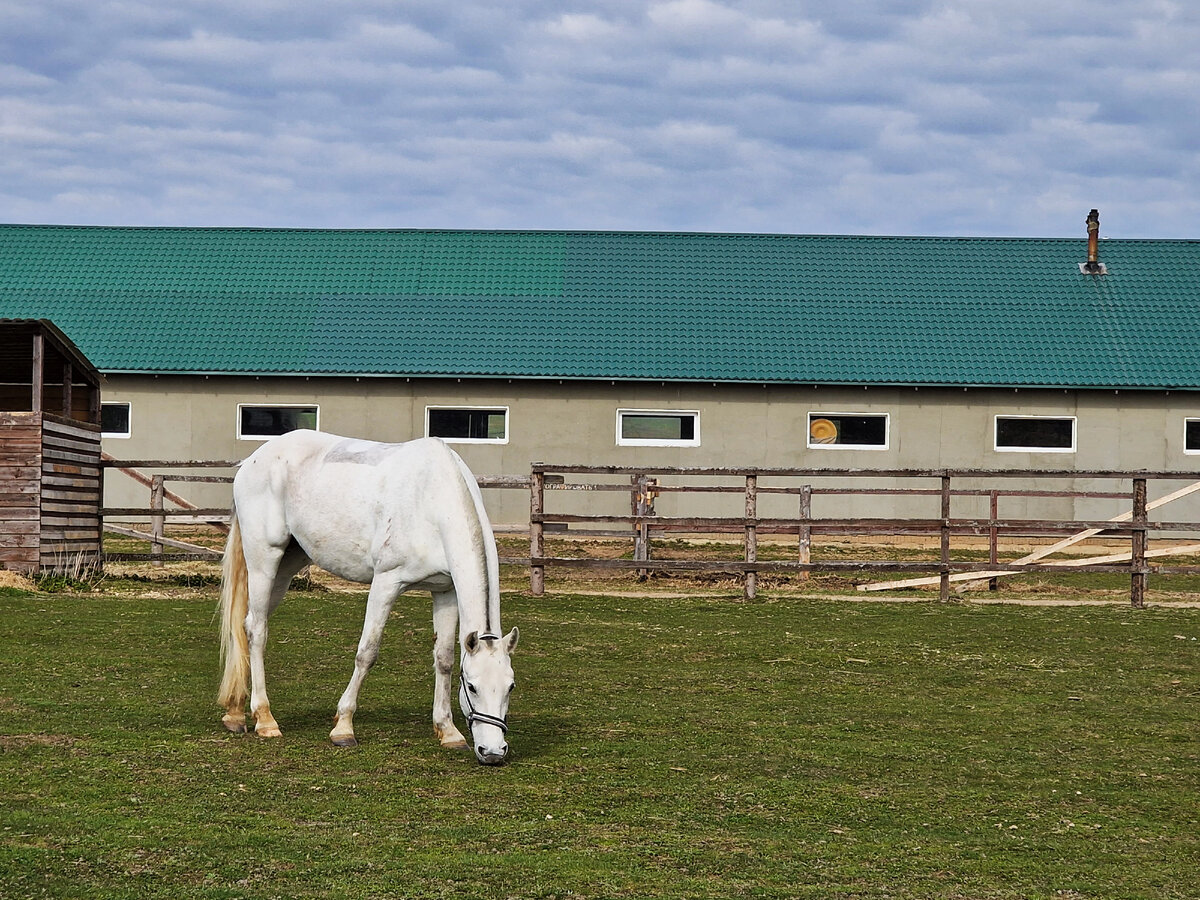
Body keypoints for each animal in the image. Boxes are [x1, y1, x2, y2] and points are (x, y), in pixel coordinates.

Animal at [218, 427, 518, 763]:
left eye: (510, 687)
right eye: (473, 687)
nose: (492, 751)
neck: (432, 500)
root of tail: (253, 461)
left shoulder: (445, 591)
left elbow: (444, 659)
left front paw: (448, 731)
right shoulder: (386, 583)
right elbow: (367, 653)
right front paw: (343, 727)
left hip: (287, 566)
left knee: (246, 625)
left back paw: (235, 712)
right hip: (264, 560)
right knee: (257, 630)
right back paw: (265, 718)